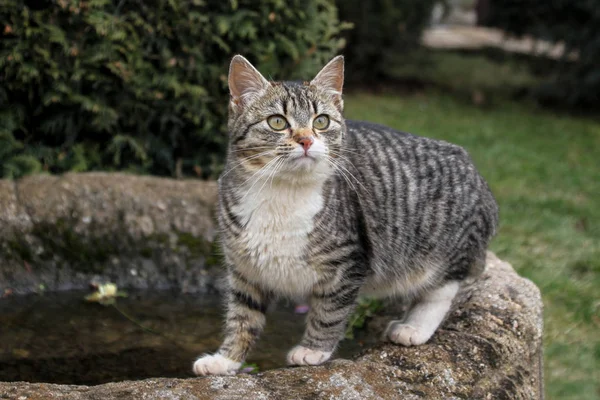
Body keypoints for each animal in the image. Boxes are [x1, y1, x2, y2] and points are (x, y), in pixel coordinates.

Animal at [192, 54, 496, 376]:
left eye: (321, 121)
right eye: (277, 122)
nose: (306, 140)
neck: (283, 193)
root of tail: (474, 169)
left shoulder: (347, 262)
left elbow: (329, 312)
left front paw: (313, 350)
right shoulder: (245, 269)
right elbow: (243, 317)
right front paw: (225, 359)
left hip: (446, 249)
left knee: (441, 289)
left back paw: (413, 327)